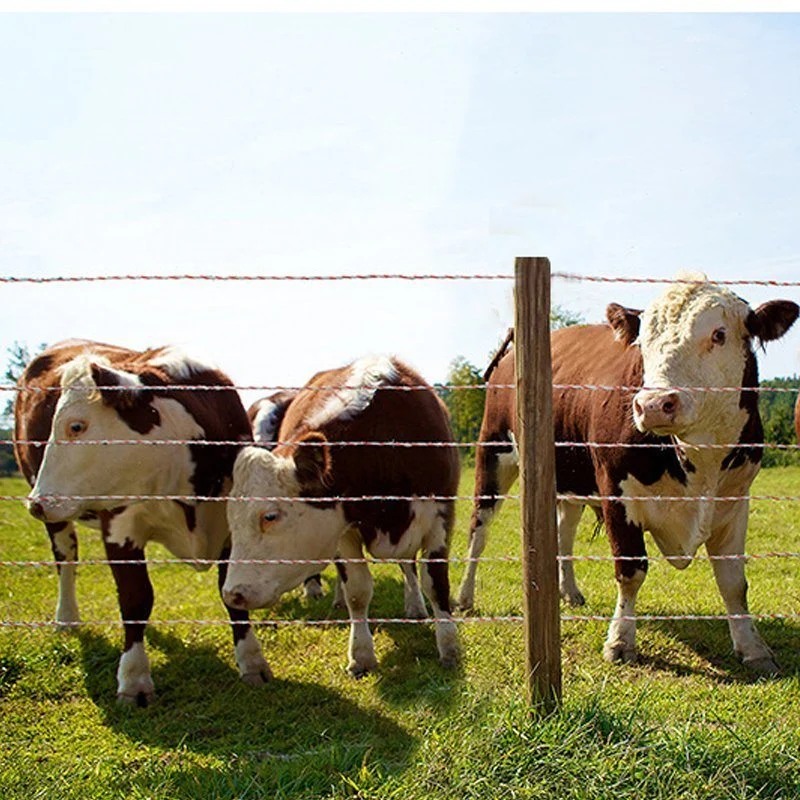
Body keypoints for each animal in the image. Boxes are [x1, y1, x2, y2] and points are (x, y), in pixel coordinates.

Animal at [14, 340, 272, 704]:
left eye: (76, 426)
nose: (35, 503)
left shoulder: (233, 528)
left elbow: (231, 593)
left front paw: (251, 661)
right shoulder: (119, 527)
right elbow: (135, 598)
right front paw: (134, 678)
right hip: (55, 513)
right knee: (66, 558)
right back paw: (66, 618)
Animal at [222, 356, 460, 676]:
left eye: (270, 516)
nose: (232, 594)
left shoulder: (440, 516)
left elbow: (435, 583)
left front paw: (449, 646)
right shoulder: (344, 531)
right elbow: (357, 591)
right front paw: (361, 654)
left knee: (408, 565)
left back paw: (415, 607)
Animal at [460, 278, 796, 672]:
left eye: (719, 334)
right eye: (643, 341)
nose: (653, 404)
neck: (698, 461)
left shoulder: (736, 498)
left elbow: (733, 581)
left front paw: (753, 647)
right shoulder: (616, 492)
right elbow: (631, 570)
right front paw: (620, 641)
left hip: (567, 478)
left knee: (562, 533)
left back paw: (569, 591)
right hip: (493, 454)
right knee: (479, 529)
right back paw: (464, 597)